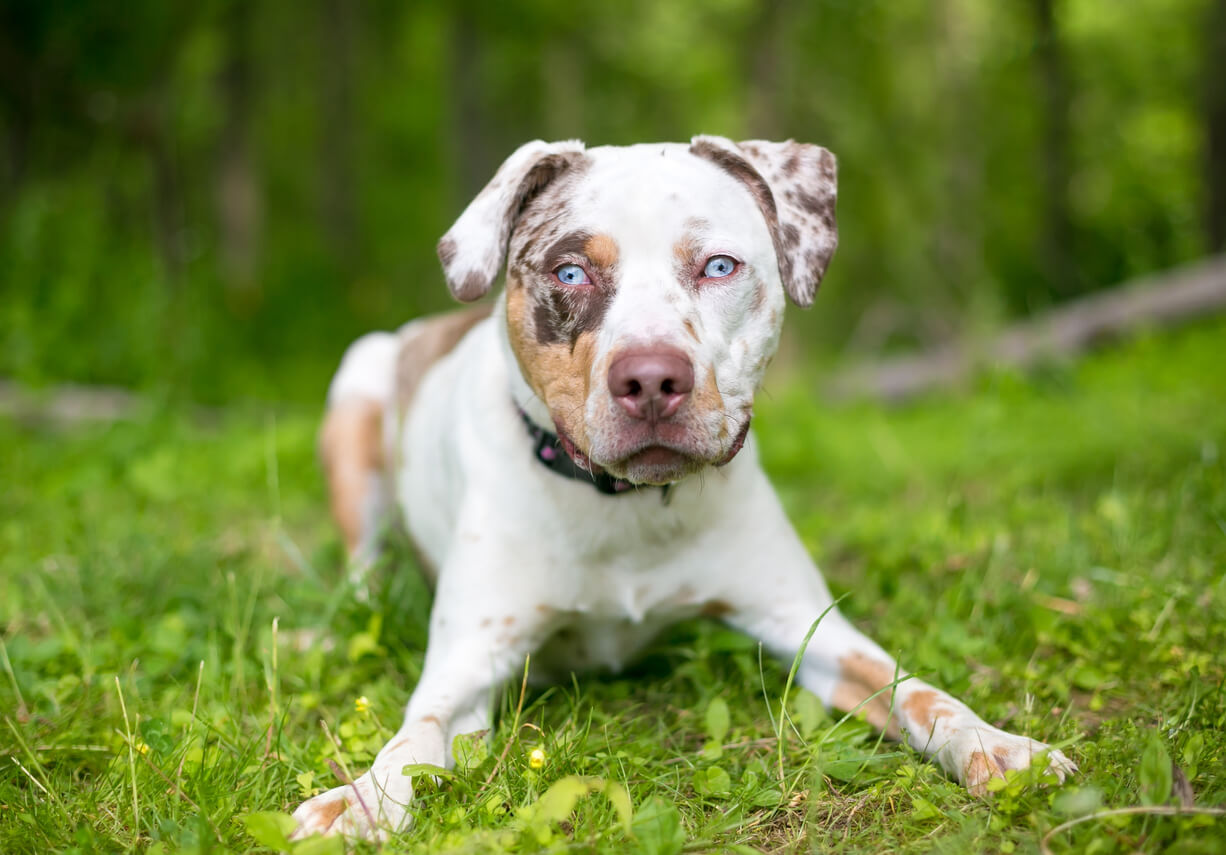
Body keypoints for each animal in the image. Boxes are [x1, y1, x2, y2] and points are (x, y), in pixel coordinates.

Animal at [289, 136, 1073, 839]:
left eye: (719, 265)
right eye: (569, 273)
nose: (650, 378)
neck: (626, 507)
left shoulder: (811, 626)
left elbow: (920, 691)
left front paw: (1000, 745)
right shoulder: (468, 665)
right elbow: (414, 737)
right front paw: (361, 801)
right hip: (356, 386)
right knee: (362, 570)